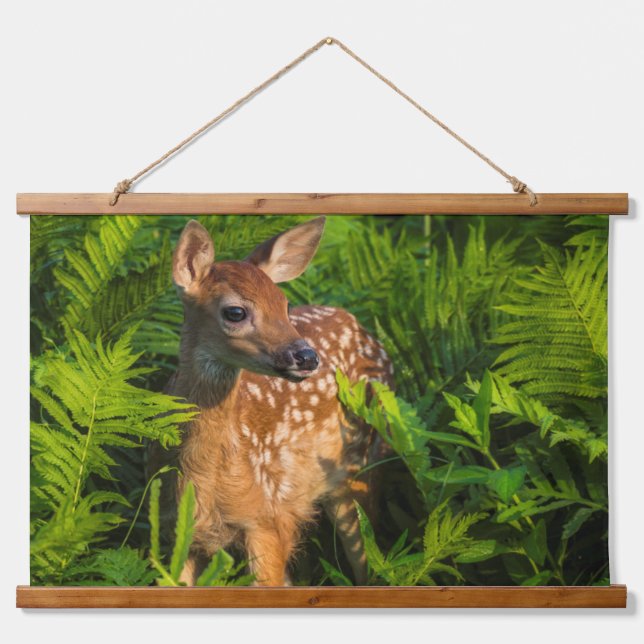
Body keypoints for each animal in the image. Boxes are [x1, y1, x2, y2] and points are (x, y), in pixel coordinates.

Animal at [151, 216, 393, 586]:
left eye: (284, 304)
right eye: (235, 312)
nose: (307, 356)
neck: (202, 479)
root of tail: (365, 331)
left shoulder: (265, 518)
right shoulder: (180, 533)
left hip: (362, 463)